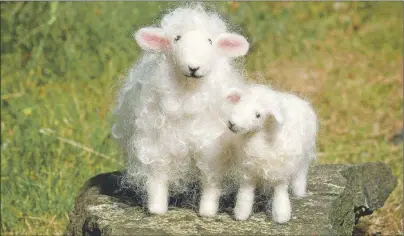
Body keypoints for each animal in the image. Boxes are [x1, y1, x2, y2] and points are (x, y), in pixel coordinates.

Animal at [111, 2, 249, 217]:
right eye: (176, 38)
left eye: (210, 41)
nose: (194, 67)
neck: (188, 97)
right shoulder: (156, 145)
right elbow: (157, 179)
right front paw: (157, 210)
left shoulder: (211, 147)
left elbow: (210, 182)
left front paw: (207, 212)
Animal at [226, 84, 318, 223]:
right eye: (238, 104)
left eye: (258, 115)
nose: (232, 124)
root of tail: (297, 99)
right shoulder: (248, 172)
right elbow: (245, 195)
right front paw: (241, 215)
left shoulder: (281, 172)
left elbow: (280, 195)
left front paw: (281, 217)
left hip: (304, 156)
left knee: (301, 173)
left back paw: (299, 192)